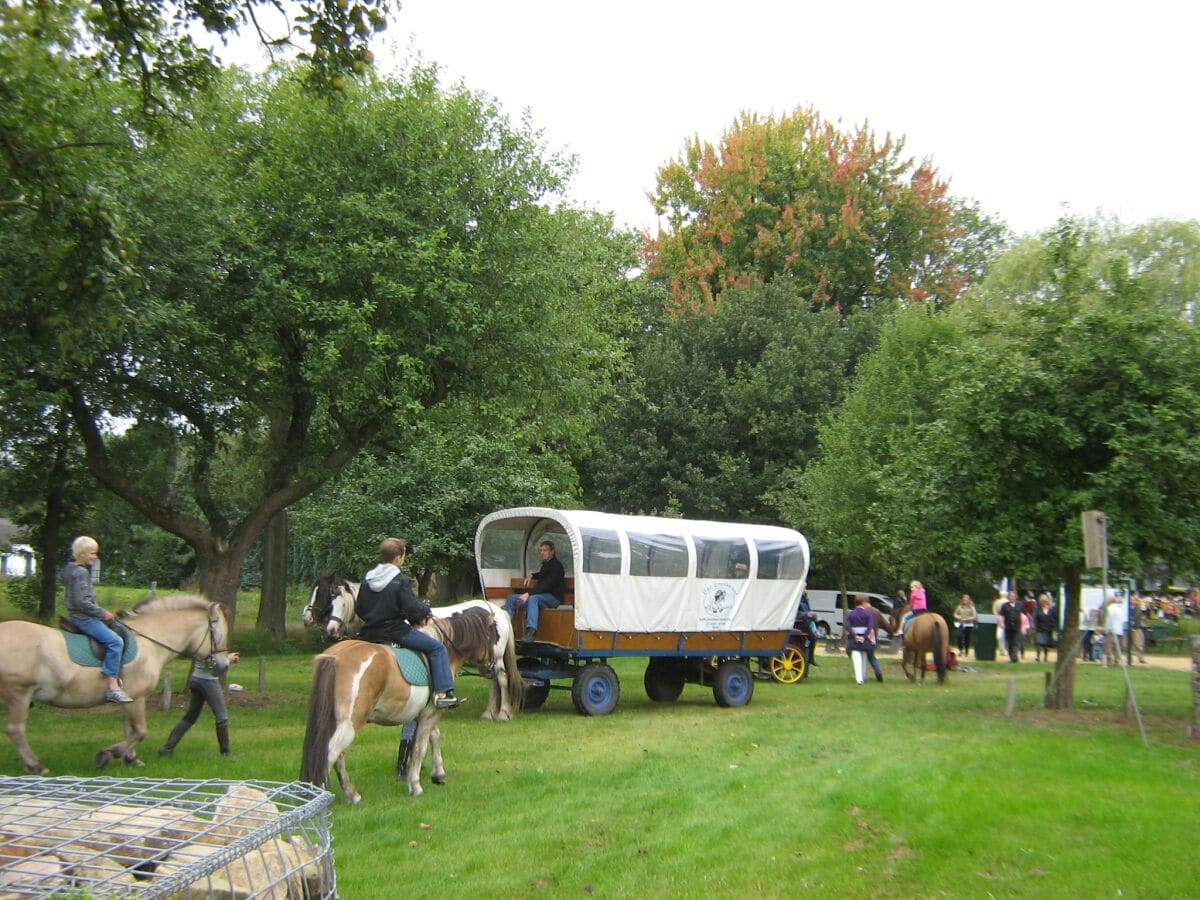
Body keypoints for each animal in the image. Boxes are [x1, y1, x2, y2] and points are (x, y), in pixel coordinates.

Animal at [0, 600, 229, 777]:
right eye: (219, 635)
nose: (224, 665)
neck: (150, 642)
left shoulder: (129, 700)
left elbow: (130, 730)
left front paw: (130, 759)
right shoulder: (137, 698)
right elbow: (140, 731)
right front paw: (107, 755)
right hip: (19, 693)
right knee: (15, 730)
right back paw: (36, 765)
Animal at [300, 578, 520, 724]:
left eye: (325, 597)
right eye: (330, 601)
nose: (331, 630)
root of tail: (497, 610)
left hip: (496, 658)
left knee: (502, 680)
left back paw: (503, 713)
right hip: (486, 661)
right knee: (493, 684)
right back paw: (488, 713)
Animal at [302, 607, 504, 801]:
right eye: (494, 636)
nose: (494, 668)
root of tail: (335, 657)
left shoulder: (423, 713)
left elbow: (434, 737)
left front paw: (438, 774)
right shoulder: (431, 713)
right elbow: (420, 748)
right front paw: (415, 785)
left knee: (336, 756)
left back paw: (351, 795)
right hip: (349, 723)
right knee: (330, 753)